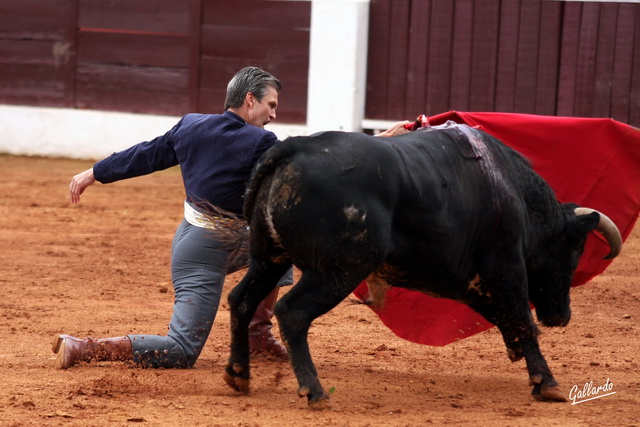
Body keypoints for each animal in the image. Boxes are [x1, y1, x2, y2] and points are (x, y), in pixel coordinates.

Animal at [222, 123, 624, 408]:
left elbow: (507, 316)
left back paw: (239, 375)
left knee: (242, 300)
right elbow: (521, 317)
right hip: (338, 270)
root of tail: (293, 147)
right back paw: (315, 391)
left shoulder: (468, 279)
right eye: (573, 251)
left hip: (269, 258)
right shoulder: (505, 267)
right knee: (292, 312)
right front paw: (547, 383)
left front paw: (519, 354)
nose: (561, 316)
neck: (513, 193)